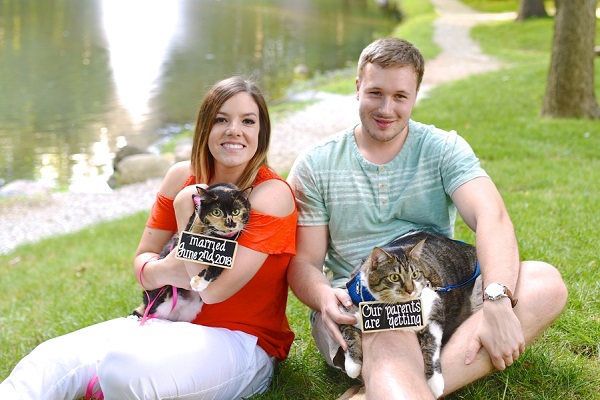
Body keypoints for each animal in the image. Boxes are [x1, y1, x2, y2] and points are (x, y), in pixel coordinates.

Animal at [131, 183, 252, 322]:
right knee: (149, 305)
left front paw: (200, 282)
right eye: (216, 212)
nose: (230, 224)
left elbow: (217, 267)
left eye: (236, 211)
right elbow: (194, 228)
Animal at [339, 230, 480, 398]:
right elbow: (348, 334)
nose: (410, 290)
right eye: (394, 277)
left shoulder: (433, 309)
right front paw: (352, 366)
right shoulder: (346, 306)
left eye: (414, 275)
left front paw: (435, 382)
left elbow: (431, 346)